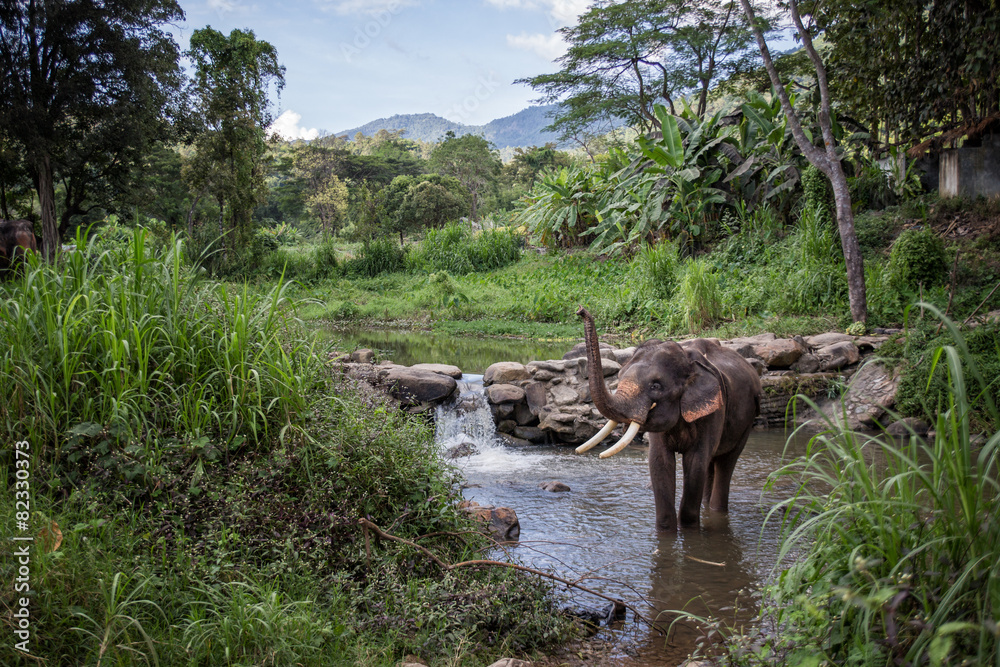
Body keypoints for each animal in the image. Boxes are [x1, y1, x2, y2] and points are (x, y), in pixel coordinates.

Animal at [576, 308, 760, 532]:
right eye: (618, 376)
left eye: (656, 386)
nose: (580, 310)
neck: (688, 361)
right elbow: (660, 461)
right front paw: (666, 531)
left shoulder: (714, 410)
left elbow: (695, 462)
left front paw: (689, 529)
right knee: (712, 464)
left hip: (747, 420)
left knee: (725, 462)